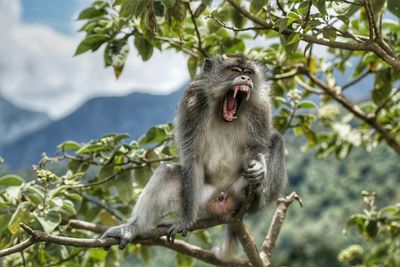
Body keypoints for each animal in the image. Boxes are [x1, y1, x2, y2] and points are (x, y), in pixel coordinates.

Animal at [101, 53, 286, 260]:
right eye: (234, 70)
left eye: (249, 72)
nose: (245, 78)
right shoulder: (192, 103)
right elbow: (192, 158)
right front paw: (185, 221)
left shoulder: (261, 107)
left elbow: (257, 146)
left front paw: (259, 168)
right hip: (201, 201)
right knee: (167, 171)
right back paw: (133, 229)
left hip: (239, 191)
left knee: (276, 140)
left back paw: (257, 196)